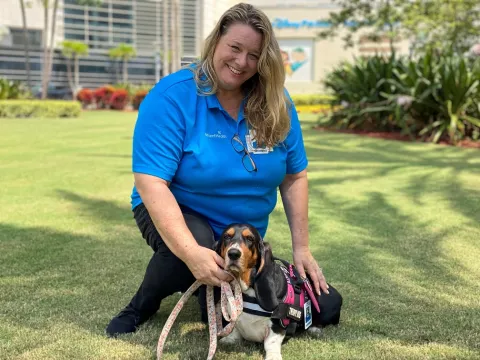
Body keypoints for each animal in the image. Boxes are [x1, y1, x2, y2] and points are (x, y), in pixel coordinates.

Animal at [216, 224, 344, 358]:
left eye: (250, 238)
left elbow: (271, 342)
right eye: (226, 237)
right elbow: (235, 329)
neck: (245, 289)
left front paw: (273, 356)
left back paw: (315, 329)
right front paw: (230, 338)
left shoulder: (278, 325)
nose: (233, 254)